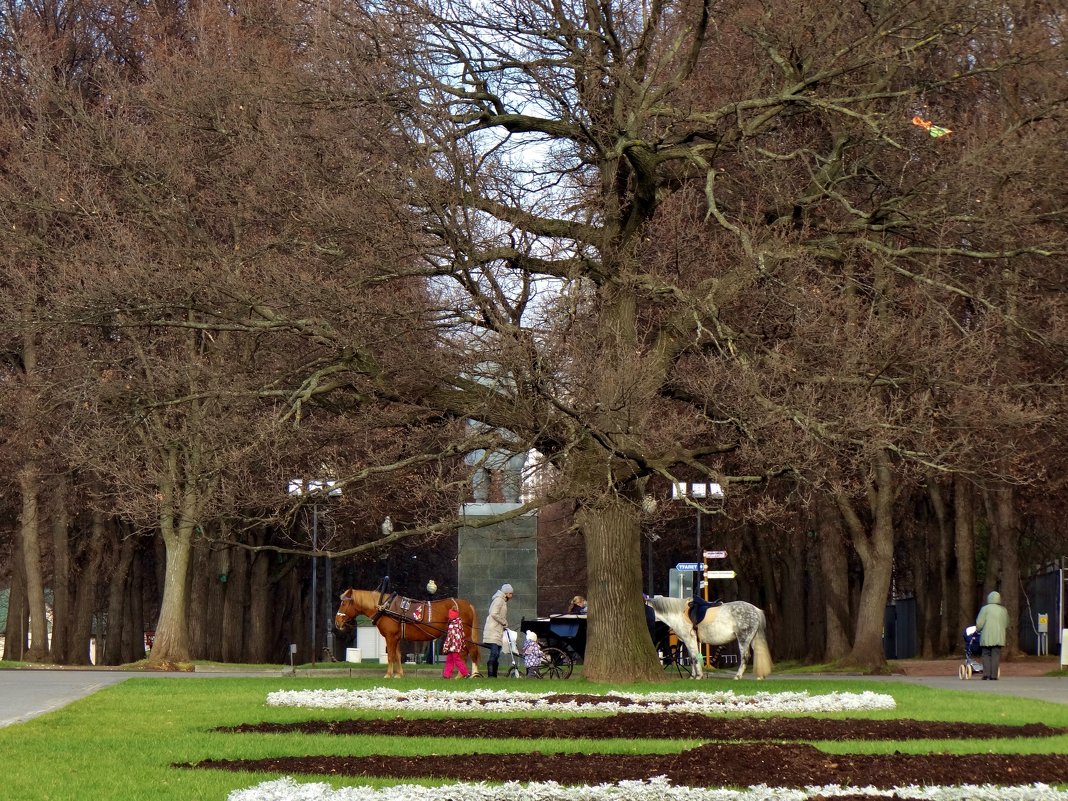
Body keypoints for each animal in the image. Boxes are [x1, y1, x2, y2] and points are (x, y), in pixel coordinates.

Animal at [335, 589, 482, 679]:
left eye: (343, 603)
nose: (337, 622)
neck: (384, 607)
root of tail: (467, 604)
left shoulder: (390, 637)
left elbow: (391, 656)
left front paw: (388, 674)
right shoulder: (396, 638)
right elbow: (397, 655)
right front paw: (399, 674)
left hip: (465, 635)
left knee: (472, 651)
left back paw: (474, 674)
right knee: (464, 653)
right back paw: (460, 675)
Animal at [645, 598, 773, 683]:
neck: (679, 614)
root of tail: (755, 610)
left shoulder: (689, 639)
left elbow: (694, 658)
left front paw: (698, 676)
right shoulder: (689, 641)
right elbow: (691, 658)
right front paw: (692, 676)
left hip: (743, 639)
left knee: (745, 657)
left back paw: (737, 676)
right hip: (753, 638)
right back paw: (760, 676)